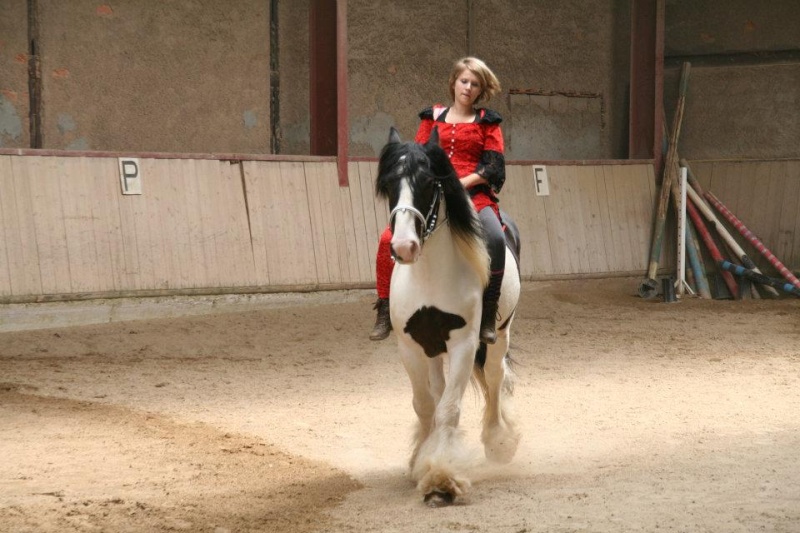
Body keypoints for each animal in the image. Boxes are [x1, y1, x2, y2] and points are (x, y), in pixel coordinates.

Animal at [376, 127, 520, 504]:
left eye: (429, 181)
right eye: (390, 183)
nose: (404, 247)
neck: (429, 276)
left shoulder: (463, 345)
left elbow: (449, 408)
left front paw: (442, 477)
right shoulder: (411, 347)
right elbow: (426, 404)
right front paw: (420, 462)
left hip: (500, 334)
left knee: (495, 379)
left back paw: (498, 441)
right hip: (432, 349)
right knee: (439, 389)